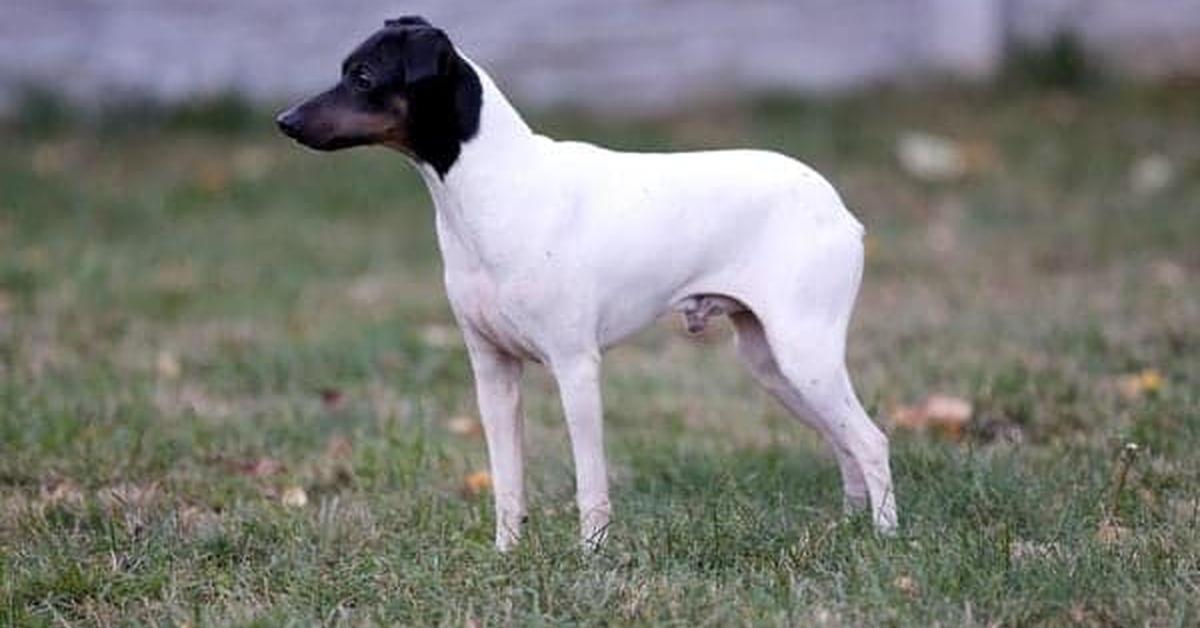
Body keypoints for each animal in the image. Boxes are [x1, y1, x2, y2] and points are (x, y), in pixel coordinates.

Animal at [276, 17, 897, 552]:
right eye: (344, 70)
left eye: (363, 78)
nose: (285, 120)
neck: (496, 187)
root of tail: (838, 208)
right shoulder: (492, 371)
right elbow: (507, 482)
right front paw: (507, 555)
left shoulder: (575, 367)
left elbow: (589, 485)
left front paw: (592, 557)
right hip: (773, 365)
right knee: (842, 442)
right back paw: (850, 527)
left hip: (805, 355)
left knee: (870, 441)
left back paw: (885, 539)